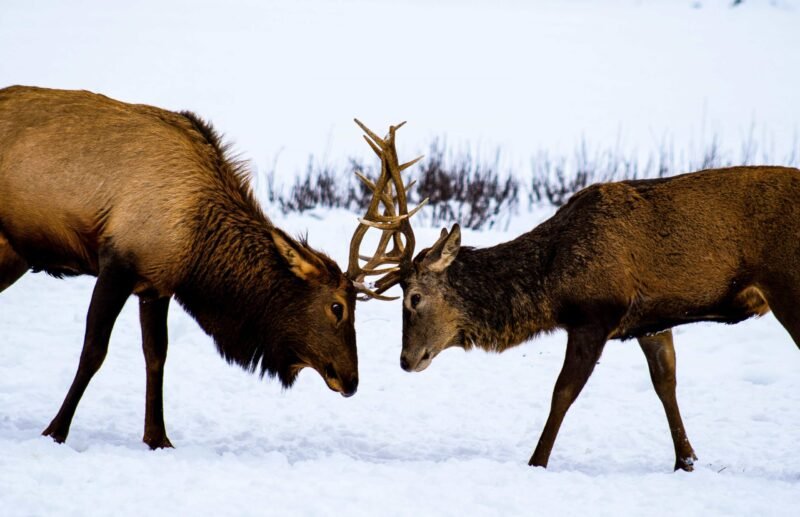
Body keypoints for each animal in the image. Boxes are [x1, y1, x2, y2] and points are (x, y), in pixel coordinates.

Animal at [0, 85, 362, 449]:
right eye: (337, 307)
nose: (352, 380)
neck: (197, 250)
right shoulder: (117, 264)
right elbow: (94, 351)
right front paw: (55, 431)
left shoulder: (155, 286)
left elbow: (156, 355)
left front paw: (157, 438)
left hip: (13, 256)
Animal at [349, 119, 800, 472]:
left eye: (413, 298)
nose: (406, 360)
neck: (551, 285)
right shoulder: (652, 319)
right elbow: (666, 384)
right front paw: (686, 461)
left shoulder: (593, 315)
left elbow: (562, 393)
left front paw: (536, 462)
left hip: (787, 283)